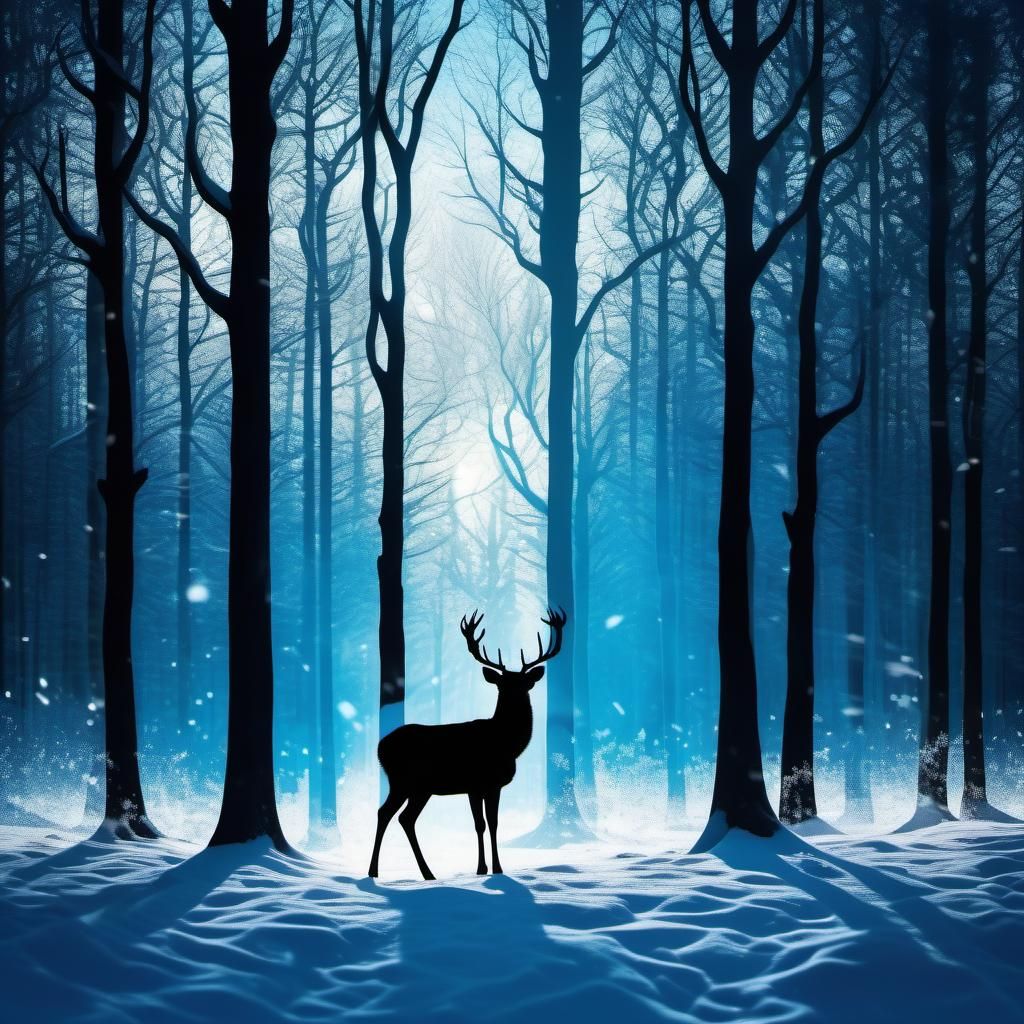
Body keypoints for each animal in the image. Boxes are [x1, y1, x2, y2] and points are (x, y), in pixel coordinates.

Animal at [368, 607, 567, 880]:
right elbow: (481, 824)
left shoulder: (491, 785)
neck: (506, 743)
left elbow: (492, 823)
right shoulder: (477, 783)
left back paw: (424, 873)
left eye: (523, 683)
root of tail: (380, 747)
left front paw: (494, 868)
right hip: (403, 781)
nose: (516, 695)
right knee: (387, 813)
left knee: (404, 818)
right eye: (502, 684)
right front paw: (485, 869)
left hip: (419, 788)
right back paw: (376, 871)